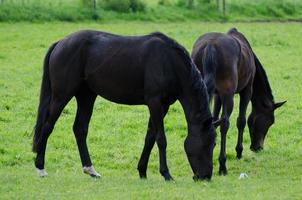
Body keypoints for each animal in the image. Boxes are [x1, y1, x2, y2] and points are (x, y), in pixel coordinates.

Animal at [32, 30, 217, 181]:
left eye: (214, 144)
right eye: (208, 143)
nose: (205, 176)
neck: (169, 62)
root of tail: (61, 43)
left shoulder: (163, 106)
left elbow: (150, 137)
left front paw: (142, 171)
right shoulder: (155, 103)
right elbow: (161, 139)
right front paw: (166, 174)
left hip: (86, 96)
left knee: (80, 129)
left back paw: (91, 170)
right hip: (61, 96)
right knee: (47, 127)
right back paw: (40, 168)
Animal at [191, 28, 286, 175]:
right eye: (270, 122)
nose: (258, 147)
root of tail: (211, 46)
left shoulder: (217, 95)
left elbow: (214, 119)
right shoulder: (246, 91)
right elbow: (241, 120)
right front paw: (239, 151)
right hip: (229, 95)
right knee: (225, 123)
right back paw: (222, 165)